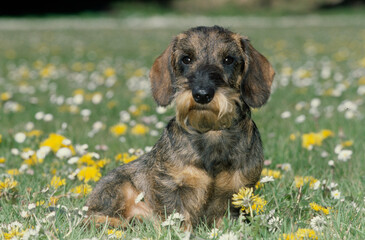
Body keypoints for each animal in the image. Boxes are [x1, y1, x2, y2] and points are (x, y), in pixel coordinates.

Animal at [85, 25, 272, 230]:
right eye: (186, 58)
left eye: (228, 59)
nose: (202, 94)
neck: (210, 132)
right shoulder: (172, 186)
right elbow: (179, 219)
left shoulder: (236, 192)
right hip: (119, 185)